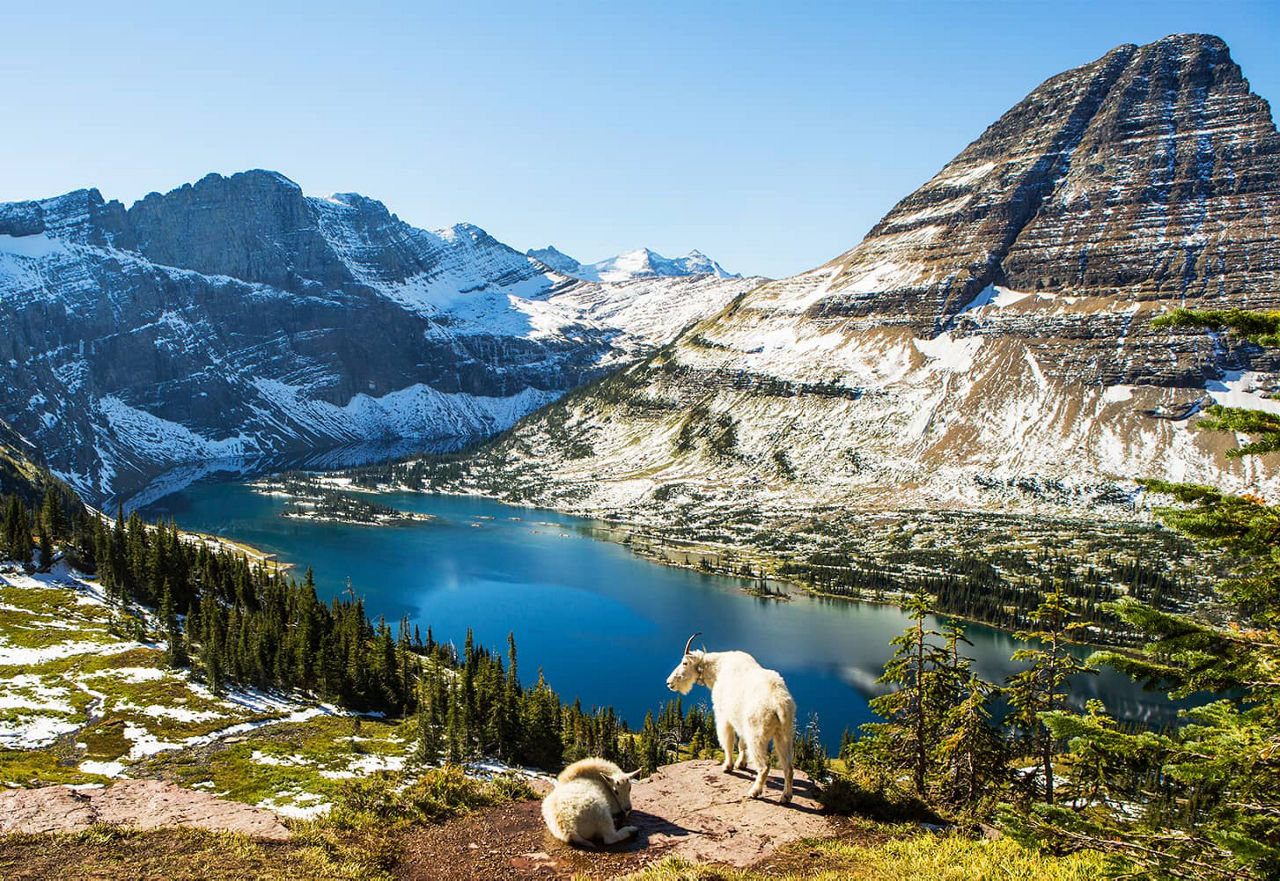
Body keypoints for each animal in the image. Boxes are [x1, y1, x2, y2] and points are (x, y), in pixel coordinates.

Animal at [665, 632, 793, 804]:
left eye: (685, 663)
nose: (669, 683)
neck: (717, 669)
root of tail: (778, 701)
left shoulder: (723, 715)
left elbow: (728, 741)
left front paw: (727, 766)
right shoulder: (740, 721)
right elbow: (741, 744)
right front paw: (741, 764)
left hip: (757, 734)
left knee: (764, 766)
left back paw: (754, 791)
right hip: (784, 734)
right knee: (788, 766)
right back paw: (786, 796)